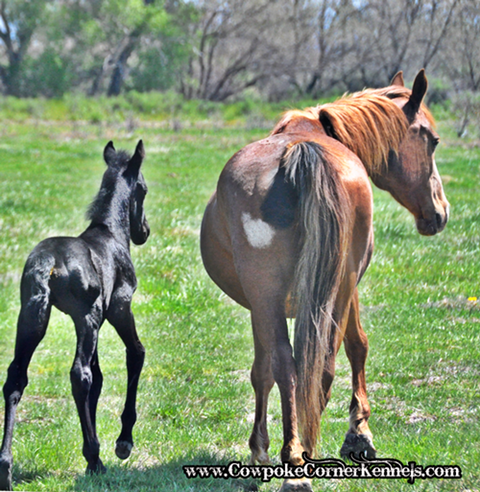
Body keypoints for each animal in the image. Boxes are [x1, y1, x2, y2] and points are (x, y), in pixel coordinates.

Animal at [0, 140, 150, 490]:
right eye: (144, 189)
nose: (144, 231)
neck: (110, 234)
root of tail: (48, 264)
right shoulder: (119, 307)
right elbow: (134, 354)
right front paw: (122, 442)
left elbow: (100, 379)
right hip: (87, 317)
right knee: (79, 374)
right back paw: (95, 458)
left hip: (32, 317)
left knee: (15, 377)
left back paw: (6, 468)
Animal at [201, 71, 448, 490]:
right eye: (431, 140)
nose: (440, 211)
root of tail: (300, 152)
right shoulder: (343, 290)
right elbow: (356, 346)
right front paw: (359, 433)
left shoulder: (263, 306)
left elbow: (264, 371)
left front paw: (261, 448)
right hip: (331, 289)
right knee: (319, 366)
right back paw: (304, 454)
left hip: (279, 297)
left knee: (292, 366)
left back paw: (296, 459)